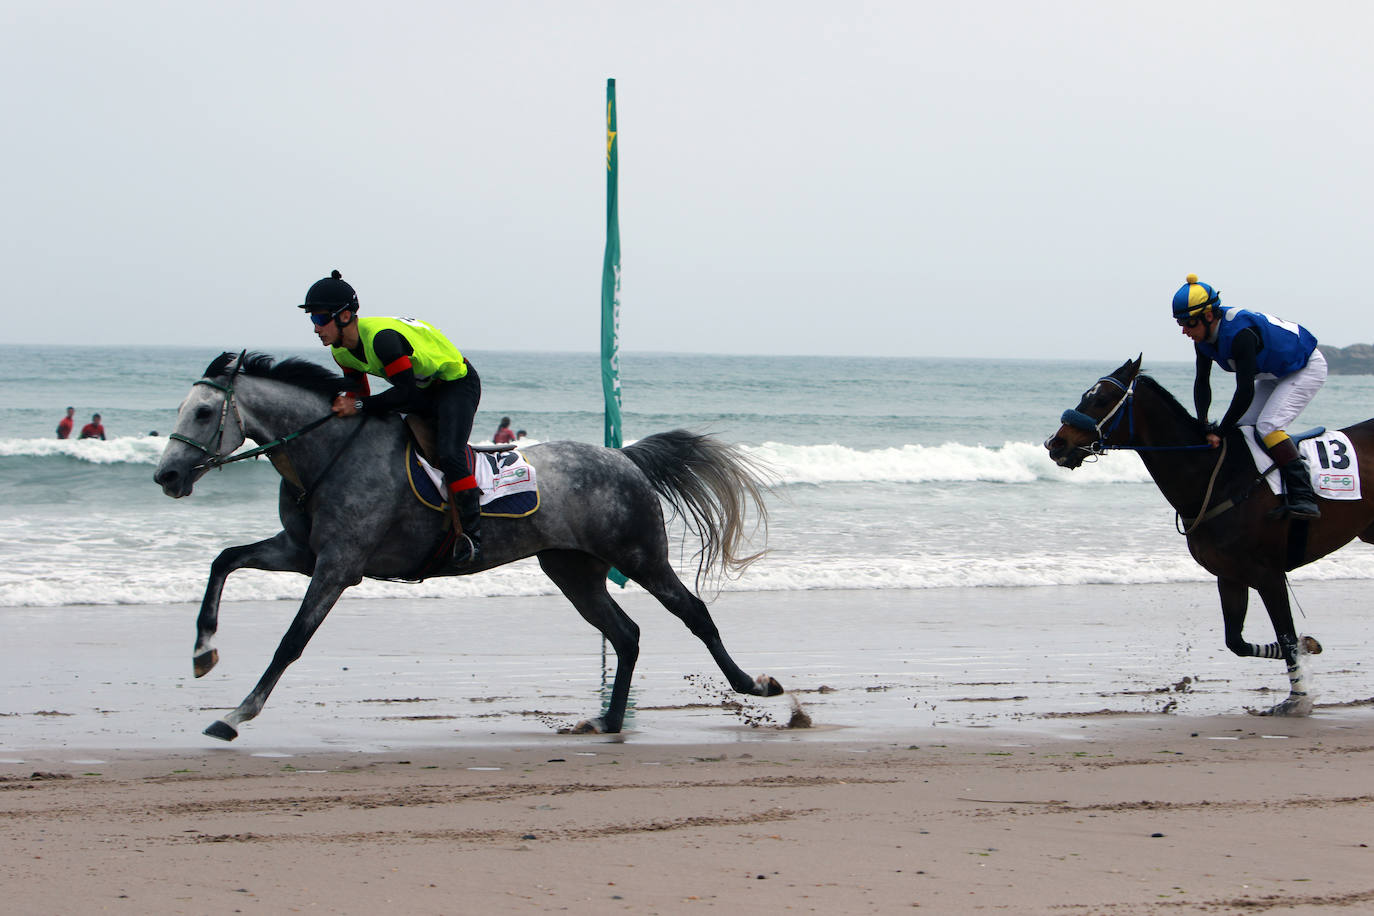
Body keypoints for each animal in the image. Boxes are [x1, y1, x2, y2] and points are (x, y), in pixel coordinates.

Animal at [154, 354, 780, 741]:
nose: (167, 476)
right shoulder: (300, 552)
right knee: (625, 634)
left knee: (693, 613)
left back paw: (755, 685)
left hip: (640, 556)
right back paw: (606, 722)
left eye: (204, 411)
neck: (329, 452)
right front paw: (203, 652)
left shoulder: (336, 566)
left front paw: (236, 714)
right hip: (573, 570)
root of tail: (623, 457)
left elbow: (291, 642)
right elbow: (224, 560)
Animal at [1044, 357, 1368, 714]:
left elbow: (1285, 634)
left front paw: (1297, 698)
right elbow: (1237, 642)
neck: (1219, 477)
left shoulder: (1269, 574)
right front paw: (1308, 644)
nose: (1055, 443)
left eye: (1100, 399)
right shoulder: (1230, 575)